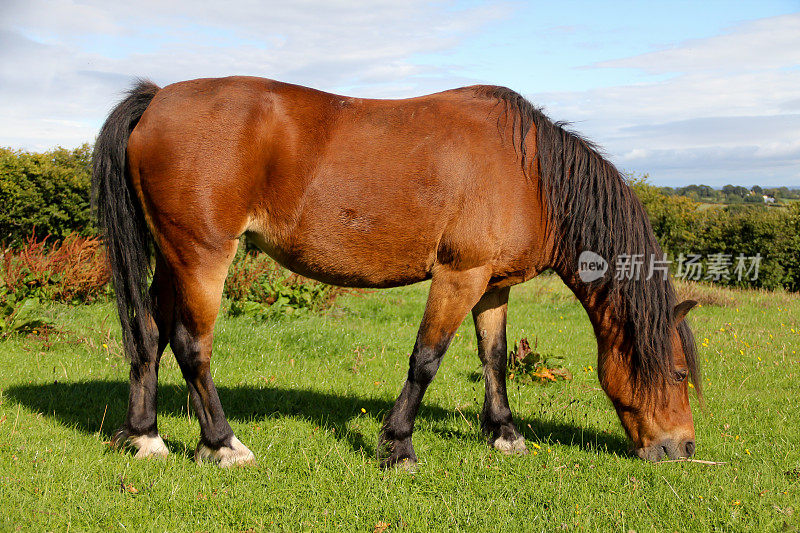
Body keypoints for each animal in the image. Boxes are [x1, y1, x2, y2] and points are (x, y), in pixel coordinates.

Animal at [92, 77, 700, 468]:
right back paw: (221, 443)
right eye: (678, 373)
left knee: (149, 335)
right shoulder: (459, 276)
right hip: (201, 258)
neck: (529, 172)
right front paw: (398, 445)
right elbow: (426, 359)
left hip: (173, 258)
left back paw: (145, 436)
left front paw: (504, 432)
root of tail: (157, 99)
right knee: (191, 345)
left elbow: (495, 357)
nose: (684, 448)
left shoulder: (492, 286)